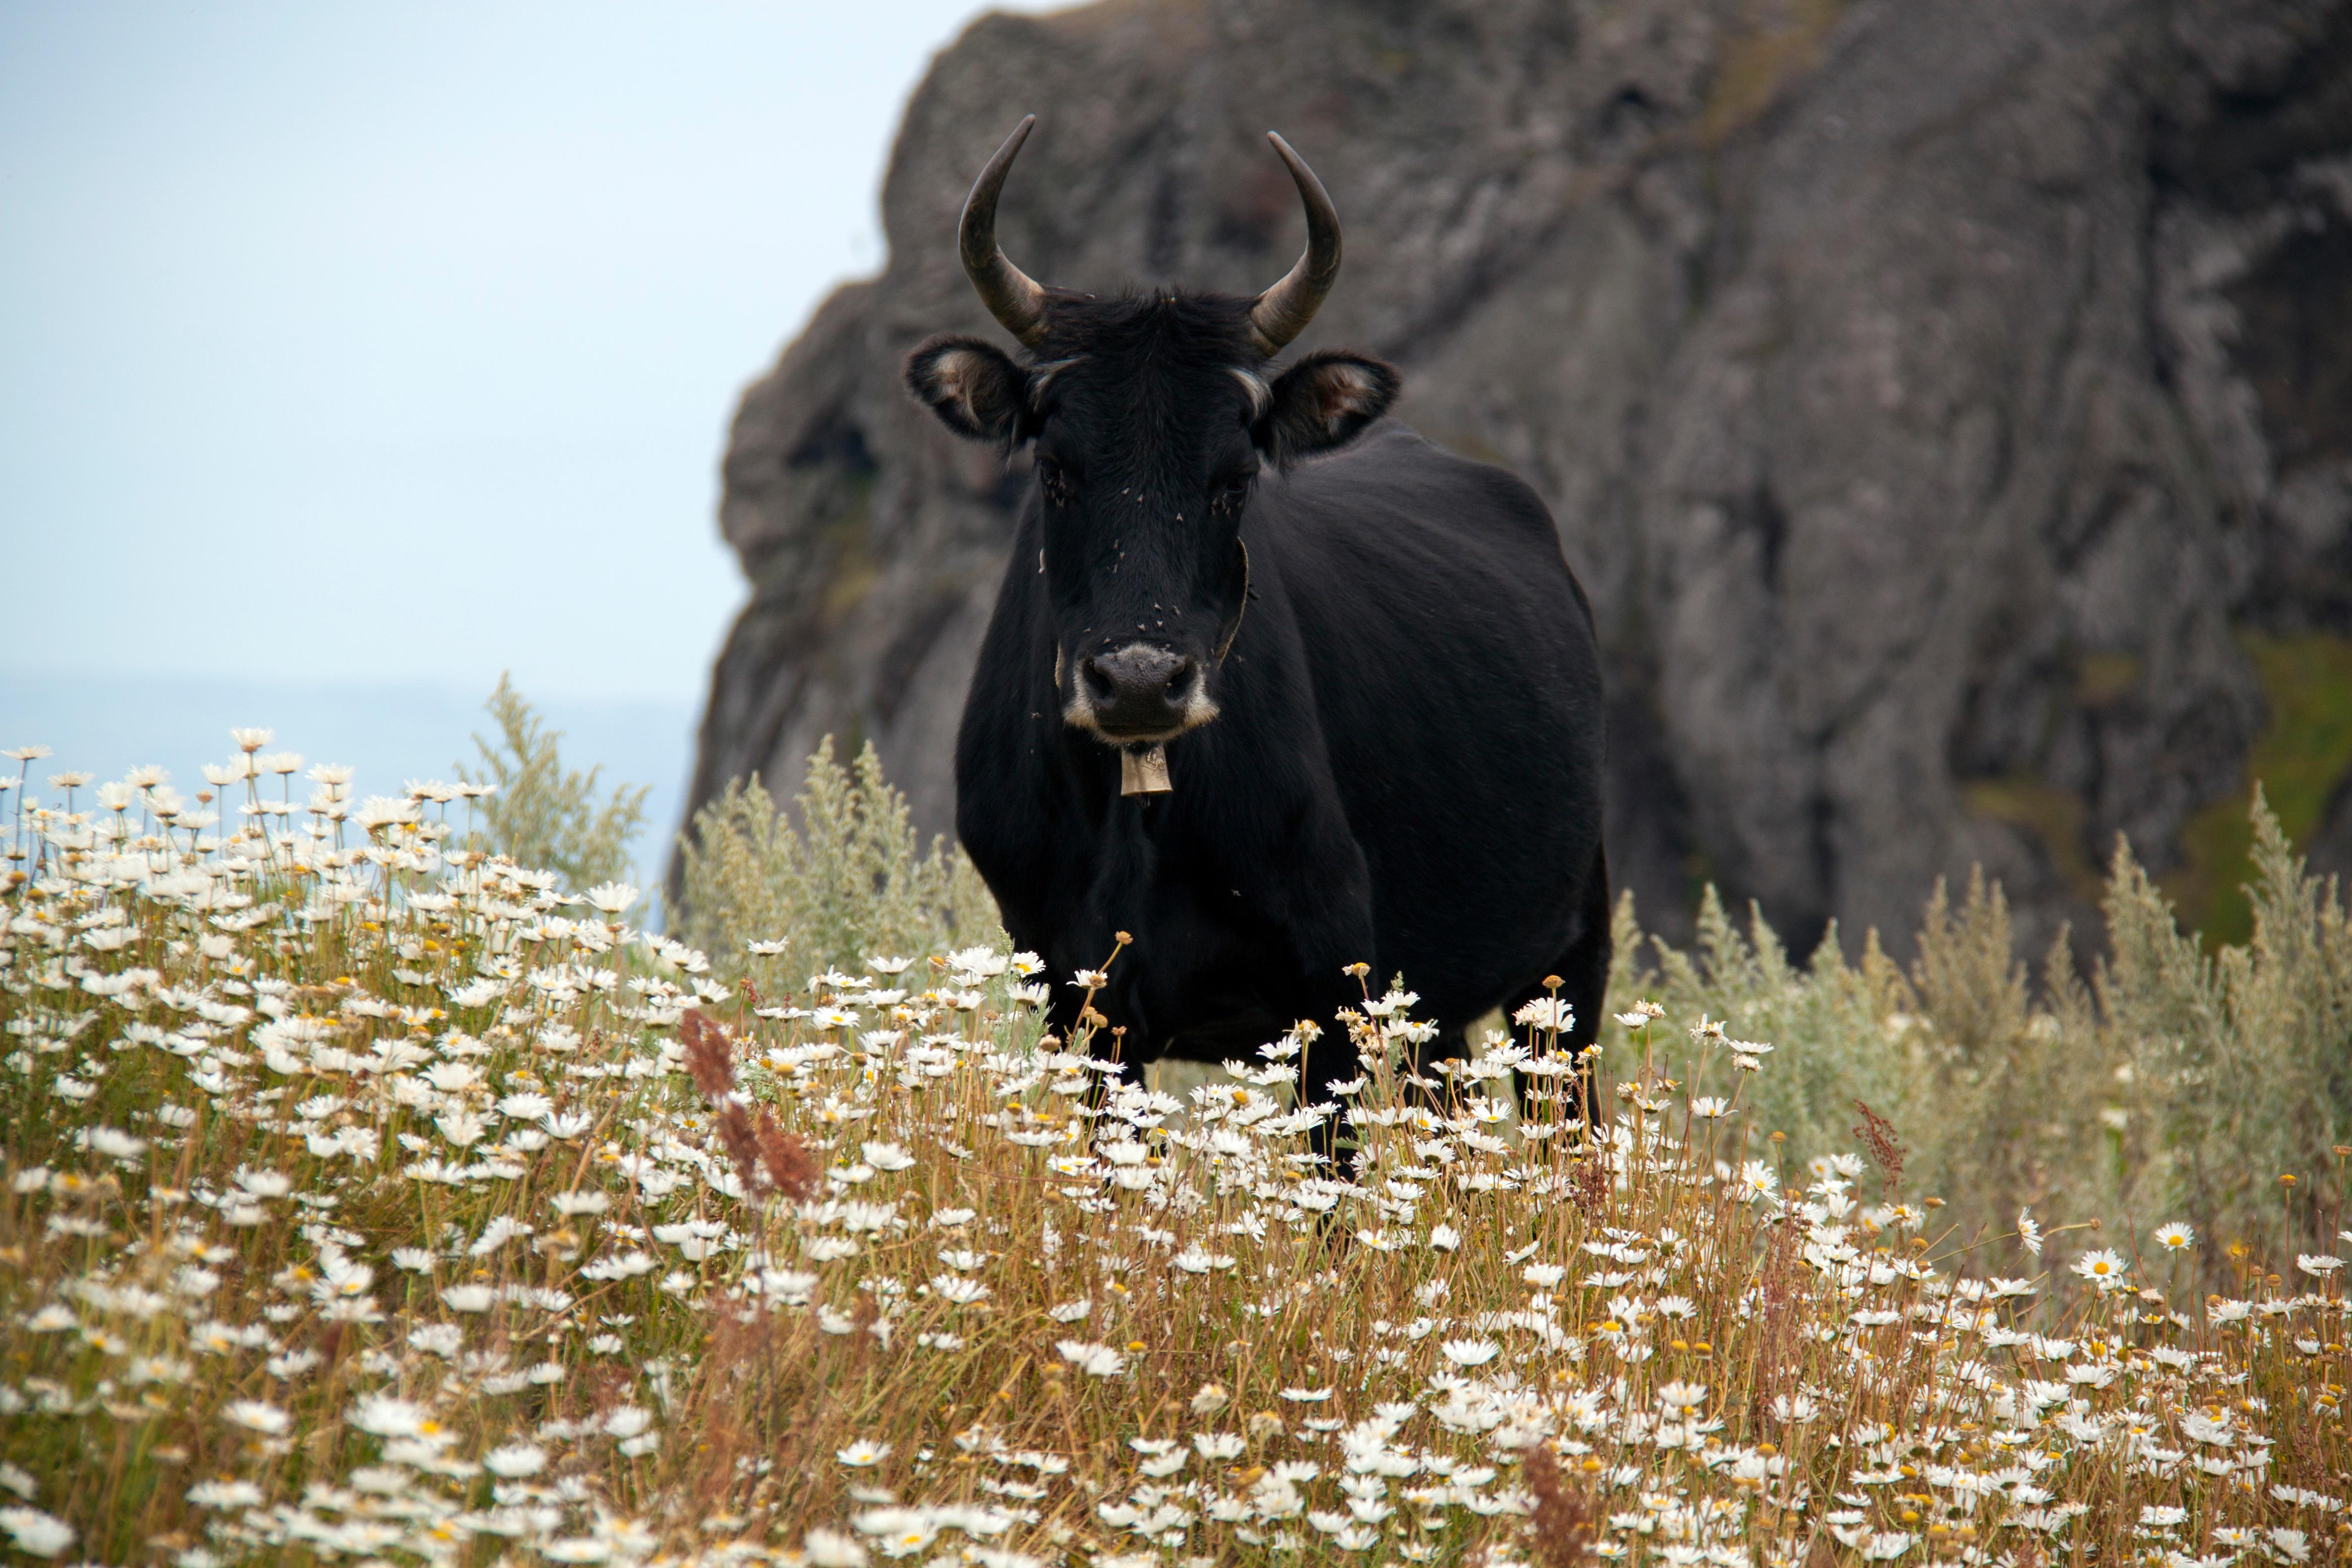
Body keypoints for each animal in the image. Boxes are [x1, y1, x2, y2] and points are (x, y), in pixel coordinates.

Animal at [908, 120, 1609, 1128]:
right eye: (1055, 470)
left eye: (1234, 479)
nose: (1138, 680)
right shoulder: (1078, 1002)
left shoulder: (1334, 989)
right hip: (1435, 1007)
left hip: (1567, 961)